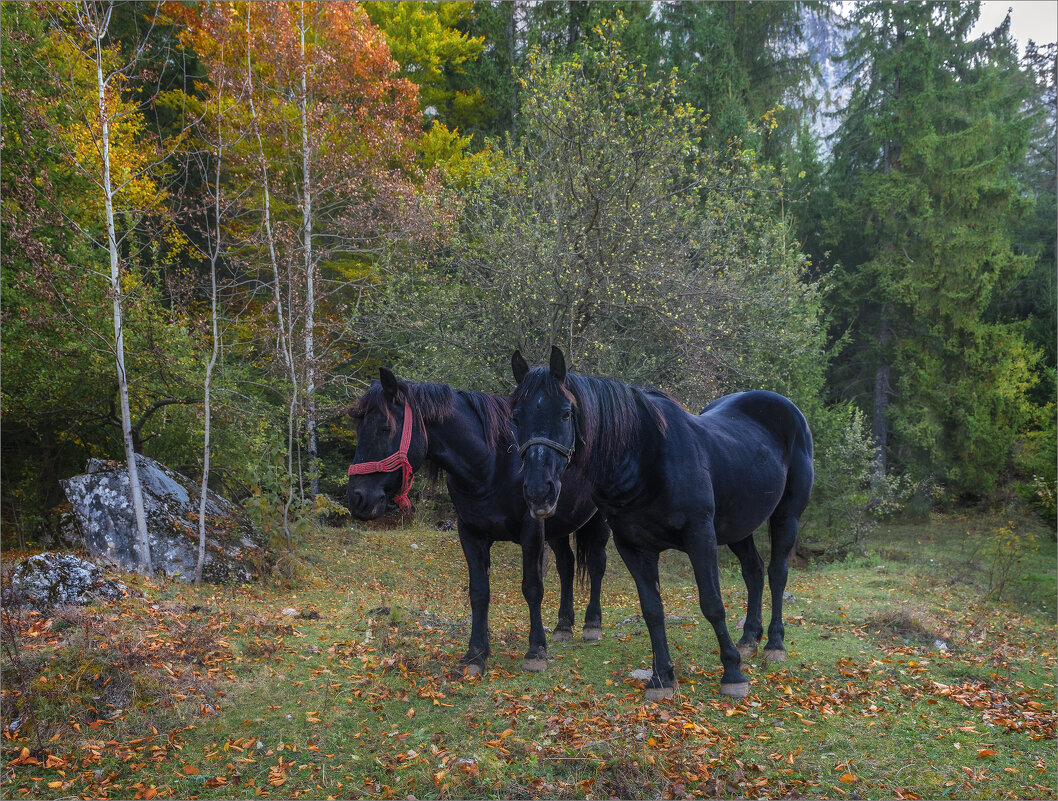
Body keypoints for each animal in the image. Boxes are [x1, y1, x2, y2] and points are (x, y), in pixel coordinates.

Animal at [349, 368, 613, 672]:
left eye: (385, 428)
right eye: (359, 429)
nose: (357, 498)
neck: (493, 463)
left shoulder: (531, 531)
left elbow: (532, 588)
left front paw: (536, 651)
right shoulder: (471, 534)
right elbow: (479, 592)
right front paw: (476, 653)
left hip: (597, 521)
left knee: (596, 563)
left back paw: (592, 624)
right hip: (557, 528)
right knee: (566, 566)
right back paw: (563, 626)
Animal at [507, 347, 812, 698]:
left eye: (566, 413)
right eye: (516, 416)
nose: (538, 492)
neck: (644, 458)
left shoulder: (700, 536)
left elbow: (712, 603)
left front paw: (732, 673)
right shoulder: (634, 547)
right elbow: (652, 610)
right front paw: (662, 677)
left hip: (786, 516)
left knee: (777, 574)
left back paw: (774, 644)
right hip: (738, 527)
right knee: (754, 571)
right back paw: (749, 639)